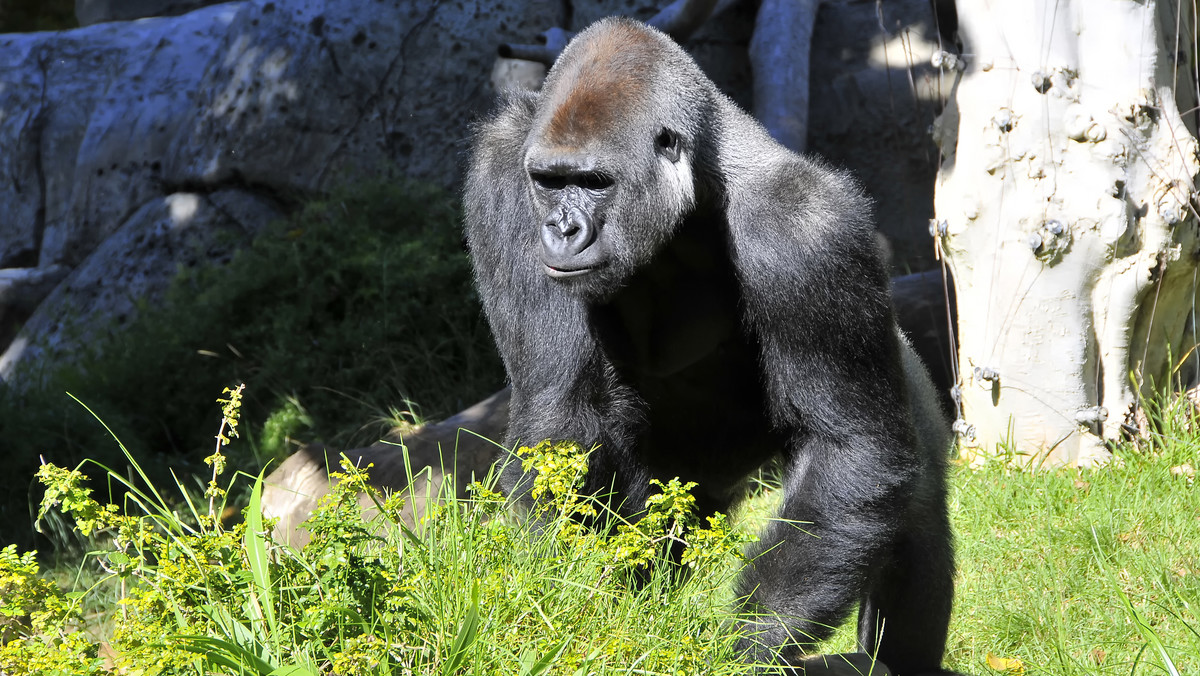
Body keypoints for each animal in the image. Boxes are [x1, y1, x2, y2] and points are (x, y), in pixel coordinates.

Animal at [463, 17, 950, 676]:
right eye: (548, 182)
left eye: (594, 183)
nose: (562, 230)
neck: (696, 180)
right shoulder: (503, 168)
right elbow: (565, 412)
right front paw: (577, 609)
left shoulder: (808, 227)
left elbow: (850, 448)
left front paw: (727, 654)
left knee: (912, 505)